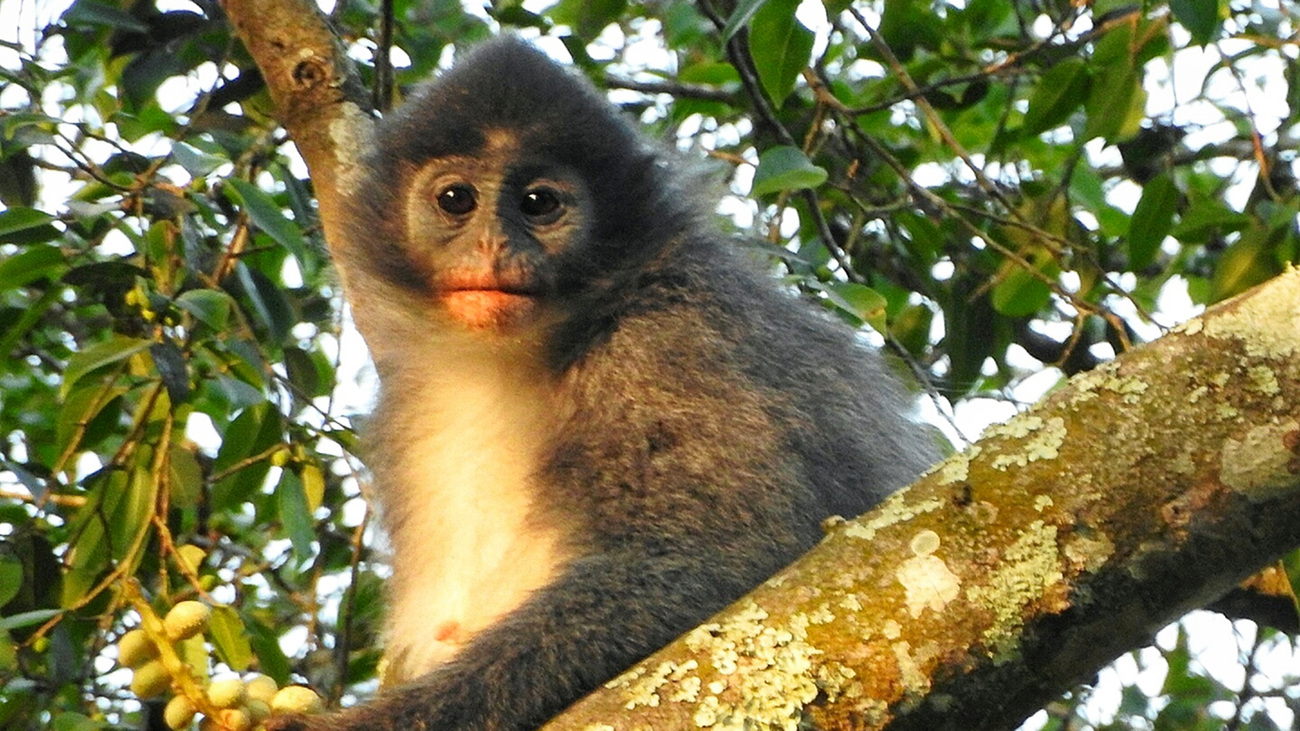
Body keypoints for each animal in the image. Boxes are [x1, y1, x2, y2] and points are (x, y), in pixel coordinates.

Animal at [274, 37, 941, 728]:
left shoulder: (670, 344)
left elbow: (722, 554)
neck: (511, 362)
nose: (492, 246)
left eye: (538, 204)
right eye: (456, 200)